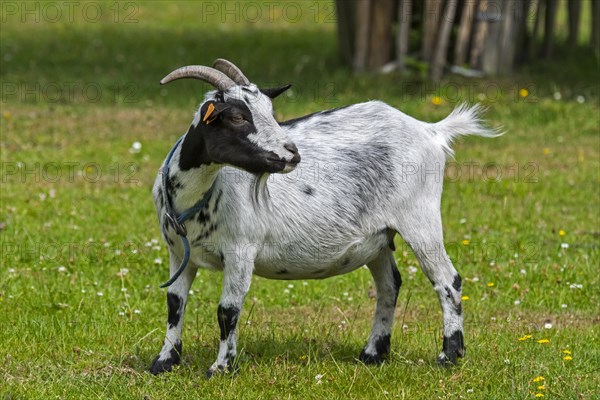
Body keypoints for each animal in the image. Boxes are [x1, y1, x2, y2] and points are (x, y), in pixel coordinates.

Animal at [148, 57, 500, 376]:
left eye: (270, 112)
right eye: (236, 116)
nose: (292, 154)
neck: (195, 196)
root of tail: (430, 131)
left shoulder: (240, 251)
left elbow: (227, 311)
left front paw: (220, 368)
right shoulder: (178, 254)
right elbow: (174, 304)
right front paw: (164, 362)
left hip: (420, 218)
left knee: (448, 280)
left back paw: (448, 356)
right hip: (379, 237)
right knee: (390, 285)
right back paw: (373, 353)